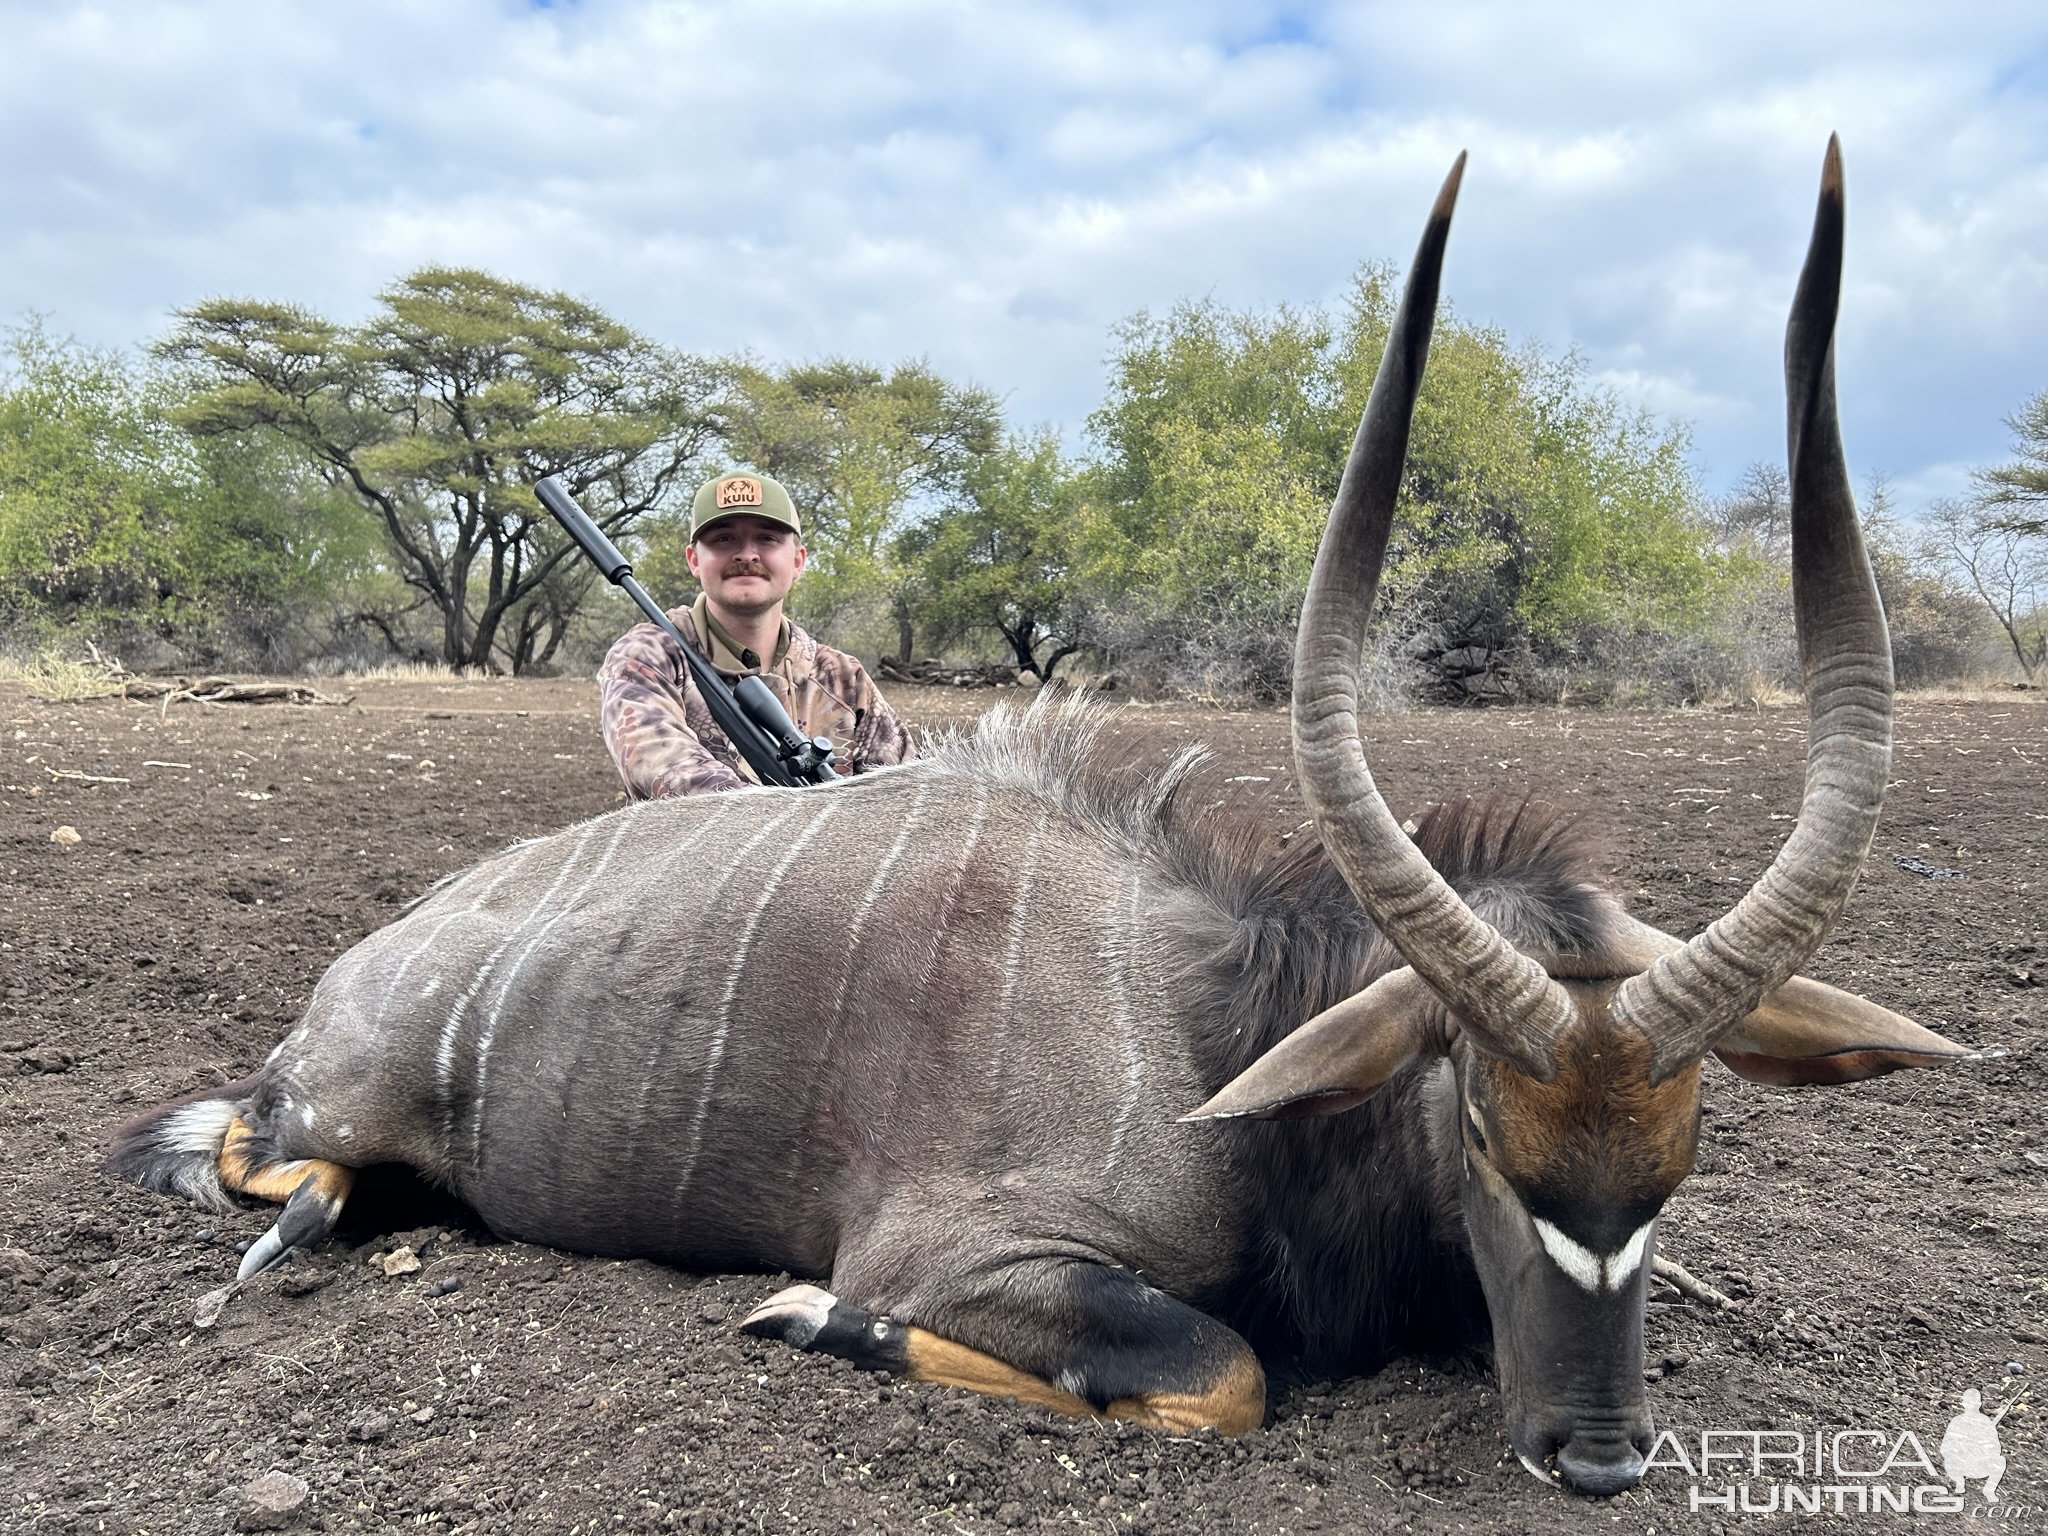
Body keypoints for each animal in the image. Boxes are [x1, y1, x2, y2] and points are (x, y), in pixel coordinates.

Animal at [103, 141, 1974, 1490]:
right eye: (1476, 1135)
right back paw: (291, 1226)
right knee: (256, 1152)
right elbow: (1219, 1375)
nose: (1593, 1458)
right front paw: (807, 1320)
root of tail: (369, 967)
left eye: (1686, 1149)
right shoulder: (960, 1253)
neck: (1213, 1016)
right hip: (338, 1107)